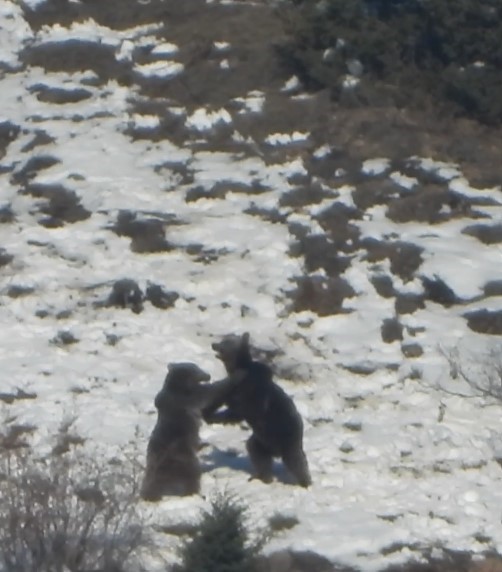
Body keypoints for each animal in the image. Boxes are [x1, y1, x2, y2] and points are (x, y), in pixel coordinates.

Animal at [140, 362, 236, 500]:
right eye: (197, 368)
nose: (208, 375)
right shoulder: (189, 397)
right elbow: (209, 392)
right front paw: (233, 377)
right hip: (183, 459)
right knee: (192, 474)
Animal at [202, 332, 312, 490]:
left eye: (226, 342)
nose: (214, 344)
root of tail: (276, 451)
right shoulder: (233, 387)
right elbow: (222, 397)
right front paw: (207, 411)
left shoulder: (251, 392)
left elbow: (239, 411)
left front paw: (214, 417)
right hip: (262, 441)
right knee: (258, 454)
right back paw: (262, 477)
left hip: (286, 436)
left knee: (295, 459)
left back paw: (305, 482)